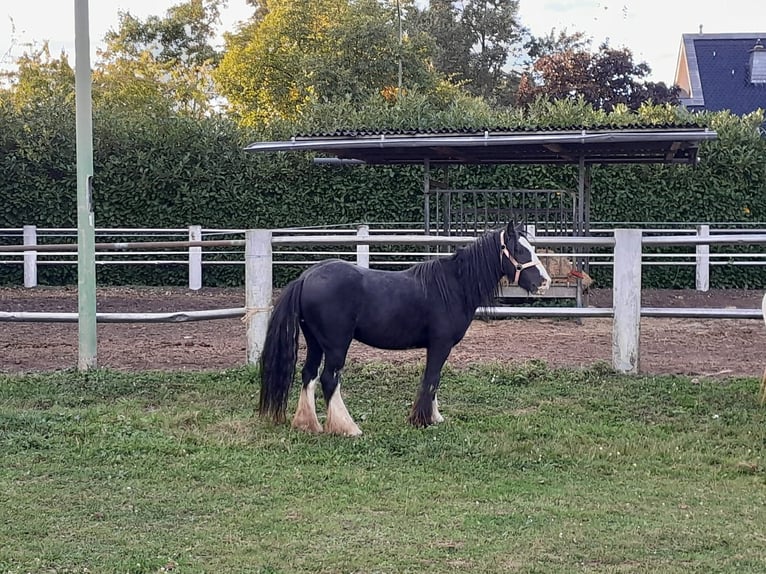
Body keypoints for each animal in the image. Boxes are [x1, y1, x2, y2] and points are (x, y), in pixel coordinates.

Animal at [258, 224, 552, 436]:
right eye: (520, 250)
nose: (544, 282)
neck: (453, 286)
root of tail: (306, 277)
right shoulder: (440, 344)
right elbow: (431, 378)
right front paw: (422, 419)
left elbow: (434, 380)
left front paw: (434, 416)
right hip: (336, 344)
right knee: (329, 379)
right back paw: (348, 428)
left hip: (315, 343)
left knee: (308, 375)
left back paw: (308, 424)